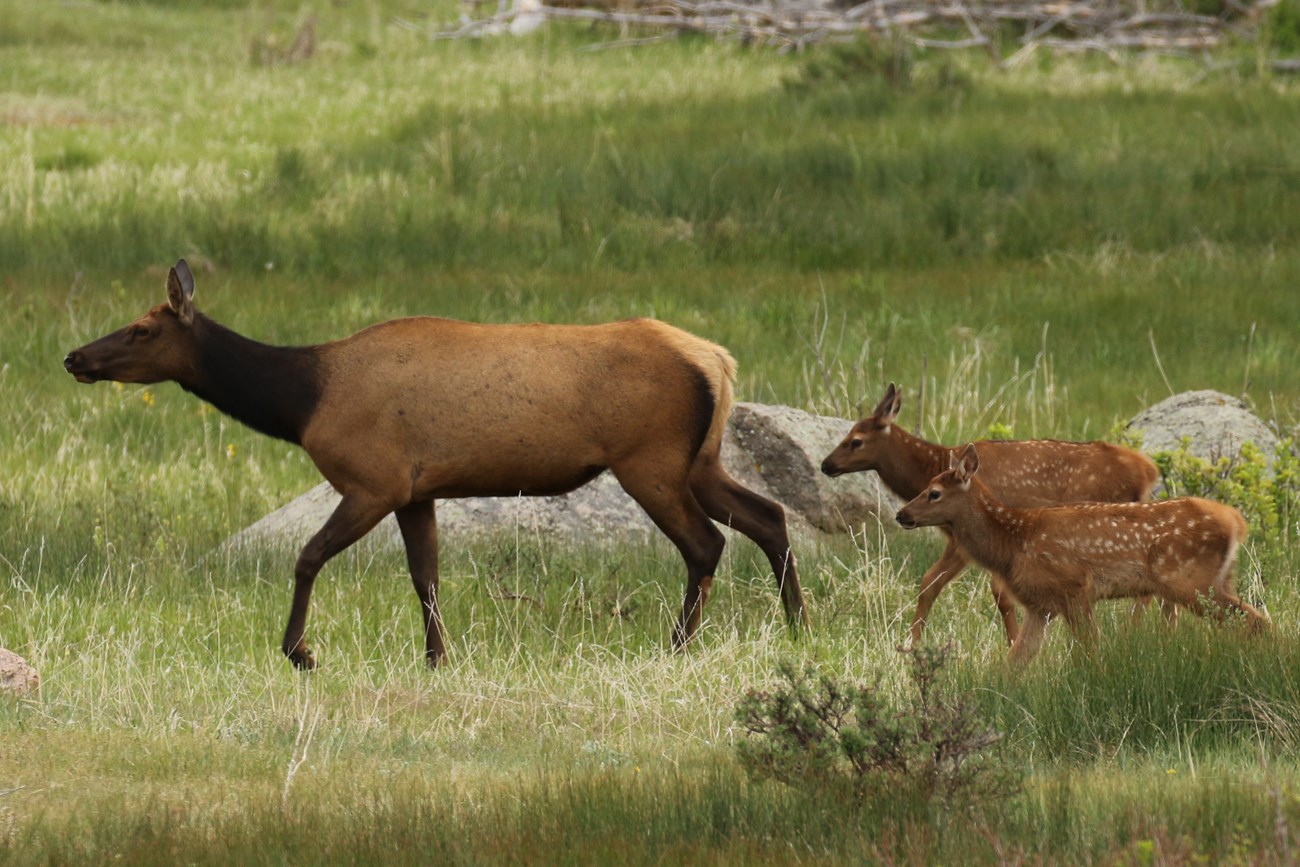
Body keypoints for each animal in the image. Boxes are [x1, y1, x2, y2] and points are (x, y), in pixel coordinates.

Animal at [63, 260, 809, 670]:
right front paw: (437, 658)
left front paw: (300, 651)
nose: (74, 356)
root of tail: (719, 361)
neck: (302, 401)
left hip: (649, 458)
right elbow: (426, 576)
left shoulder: (374, 478)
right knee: (769, 516)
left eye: (141, 328)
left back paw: (677, 645)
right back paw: (799, 627)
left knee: (706, 542)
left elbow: (308, 555)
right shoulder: (416, 490)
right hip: (699, 459)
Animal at [821, 383, 1160, 646]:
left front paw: (1013, 640)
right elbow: (930, 582)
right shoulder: (960, 538)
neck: (932, 466)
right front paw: (911, 643)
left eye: (856, 441)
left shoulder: (972, 537)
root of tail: (1147, 470)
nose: (826, 464)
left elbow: (990, 591)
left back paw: (1132, 631)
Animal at [895, 443, 1268, 664]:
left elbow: (1092, 650)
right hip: (1220, 579)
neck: (1013, 543)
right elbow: (1014, 663)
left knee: (1256, 619)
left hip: (1188, 580)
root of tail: (1236, 521)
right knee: (1250, 619)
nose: (901, 514)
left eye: (934, 492)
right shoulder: (1041, 606)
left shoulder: (1074, 588)